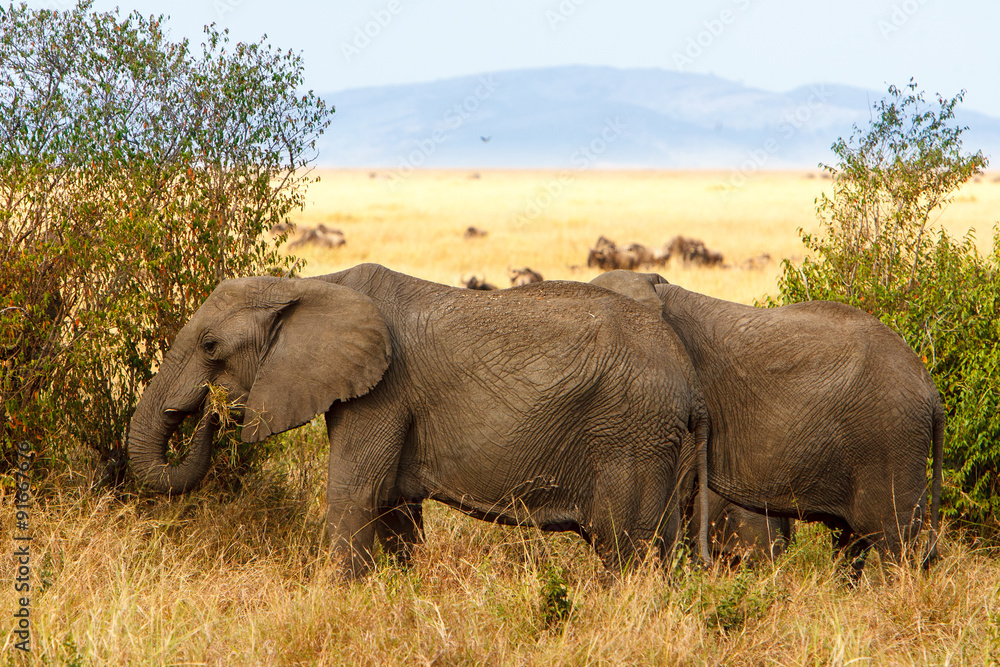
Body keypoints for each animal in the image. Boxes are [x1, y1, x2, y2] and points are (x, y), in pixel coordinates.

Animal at [129, 264, 716, 576]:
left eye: (210, 347)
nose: (212, 412)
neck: (309, 284)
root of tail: (692, 386)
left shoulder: (383, 393)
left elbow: (356, 494)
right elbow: (392, 506)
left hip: (631, 434)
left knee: (624, 549)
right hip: (659, 442)